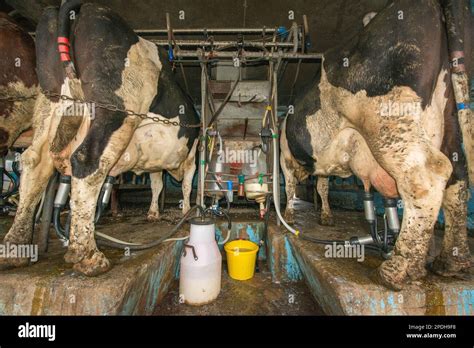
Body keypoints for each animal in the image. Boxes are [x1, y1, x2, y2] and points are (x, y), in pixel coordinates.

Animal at [0, 1, 199, 276]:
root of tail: (80, 7)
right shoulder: (192, 155)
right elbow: (186, 184)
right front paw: (187, 210)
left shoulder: (156, 164)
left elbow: (157, 184)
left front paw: (153, 213)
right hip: (115, 107)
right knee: (86, 161)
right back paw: (87, 256)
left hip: (52, 102)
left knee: (34, 162)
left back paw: (15, 248)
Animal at [282, 0, 470, 290]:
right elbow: (320, 186)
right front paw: (324, 216)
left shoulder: (285, 157)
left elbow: (291, 185)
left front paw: (290, 215)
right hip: (450, 118)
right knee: (457, 181)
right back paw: (449, 261)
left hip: (387, 116)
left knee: (427, 175)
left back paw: (398, 268)